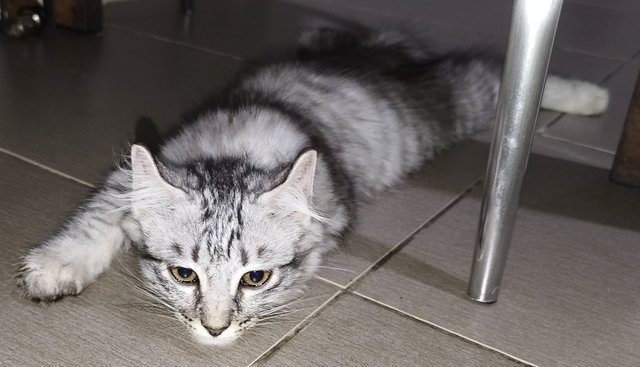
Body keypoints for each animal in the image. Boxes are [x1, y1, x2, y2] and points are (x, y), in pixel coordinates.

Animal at [13, 28, 604, 344]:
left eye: (254, 278)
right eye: (184, 274)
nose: (214, 330)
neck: (235, 152)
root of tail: (379, 52)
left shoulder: (332, 205)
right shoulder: (136, 172)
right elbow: (97, 216)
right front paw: (55, 266)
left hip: (448, 106)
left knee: (489, 71)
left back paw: (589, 95)